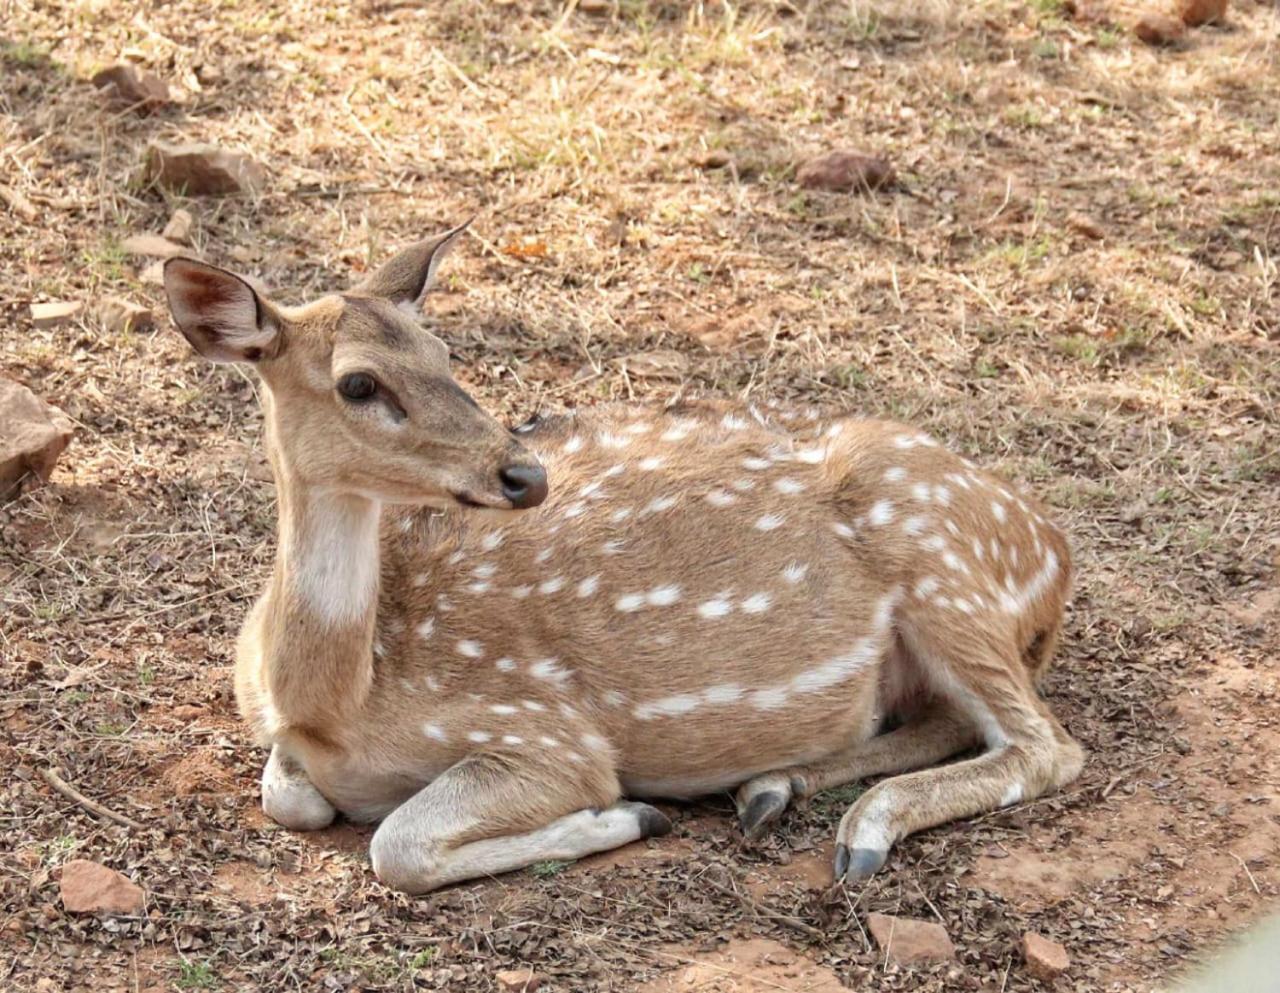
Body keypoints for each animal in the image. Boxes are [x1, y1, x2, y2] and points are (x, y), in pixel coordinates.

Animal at [160, 229, 1080, 895]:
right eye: (358, 383)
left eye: (445, 354)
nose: (524, 473)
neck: (337, 703)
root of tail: (1053, 547)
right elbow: (290, 796)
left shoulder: (545, 731)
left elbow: (400, 843)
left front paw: (629, 815)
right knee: (951, 720)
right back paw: (771, 788)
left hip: (939, 555)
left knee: (1048, 746)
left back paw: (860, 835)